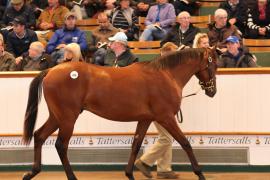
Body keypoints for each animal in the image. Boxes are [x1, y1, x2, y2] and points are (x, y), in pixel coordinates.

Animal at [22, 47, 218, 180]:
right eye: (214, 64)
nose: (212, 91)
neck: (165, 75)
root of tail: (51, 70)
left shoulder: (146, 119)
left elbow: (136, 145)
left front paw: (129, 173)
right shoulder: (166, 117)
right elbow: (185, 143)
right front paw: (200, 173)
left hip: (57, 117)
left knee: (39, 135)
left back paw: (32, 172)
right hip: (68, 118)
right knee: (60, 146)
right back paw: (71, 177)